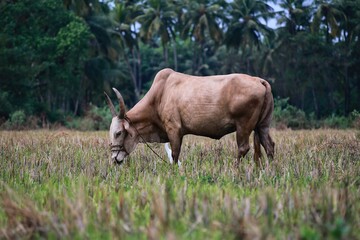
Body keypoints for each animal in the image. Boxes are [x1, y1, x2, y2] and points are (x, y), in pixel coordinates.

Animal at [105, 68, 274, 167]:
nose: (114, 158)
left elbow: (174, 154)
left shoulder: (173, 129)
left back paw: (236, 170)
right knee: (269, 146)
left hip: (243, 125)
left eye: (118, 133)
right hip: (262, 125)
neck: (159, 95)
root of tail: (260, 80)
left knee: (243, 148)